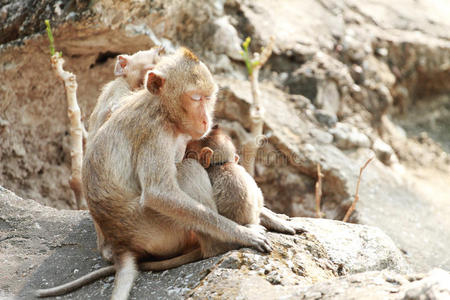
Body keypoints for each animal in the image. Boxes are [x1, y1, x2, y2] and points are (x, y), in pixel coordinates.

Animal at [37, 48, 268, 298]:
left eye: (208, 98)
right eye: (196, 98)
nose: (206, 119)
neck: (164, 109)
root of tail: (120, 245)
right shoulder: (155, 132)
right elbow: (159, 193)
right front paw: (241, 233)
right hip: (155, 231)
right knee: (187, 170)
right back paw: (216, 246)